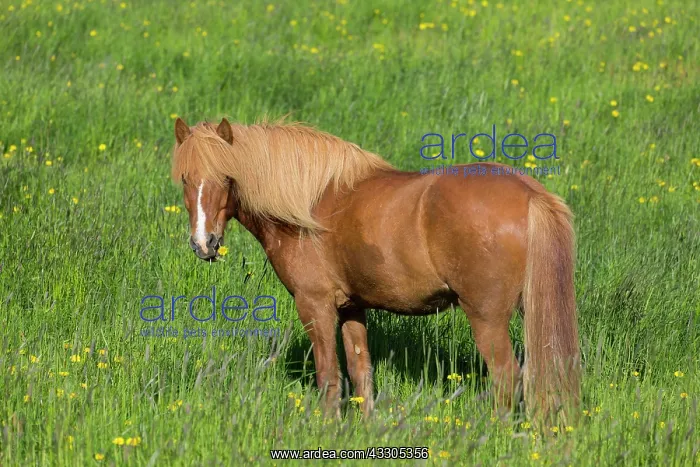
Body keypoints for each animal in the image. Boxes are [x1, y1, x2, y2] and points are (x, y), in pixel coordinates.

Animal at [170, 117, 581, 426]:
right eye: (186, 179)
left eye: (227, 177)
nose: (204, 243)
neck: (310, 204)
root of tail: (529, 194)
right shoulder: (352, 308)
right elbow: (360, 370)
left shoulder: (314, 305)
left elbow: (329, 375)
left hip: (486, 317)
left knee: (507, 376)